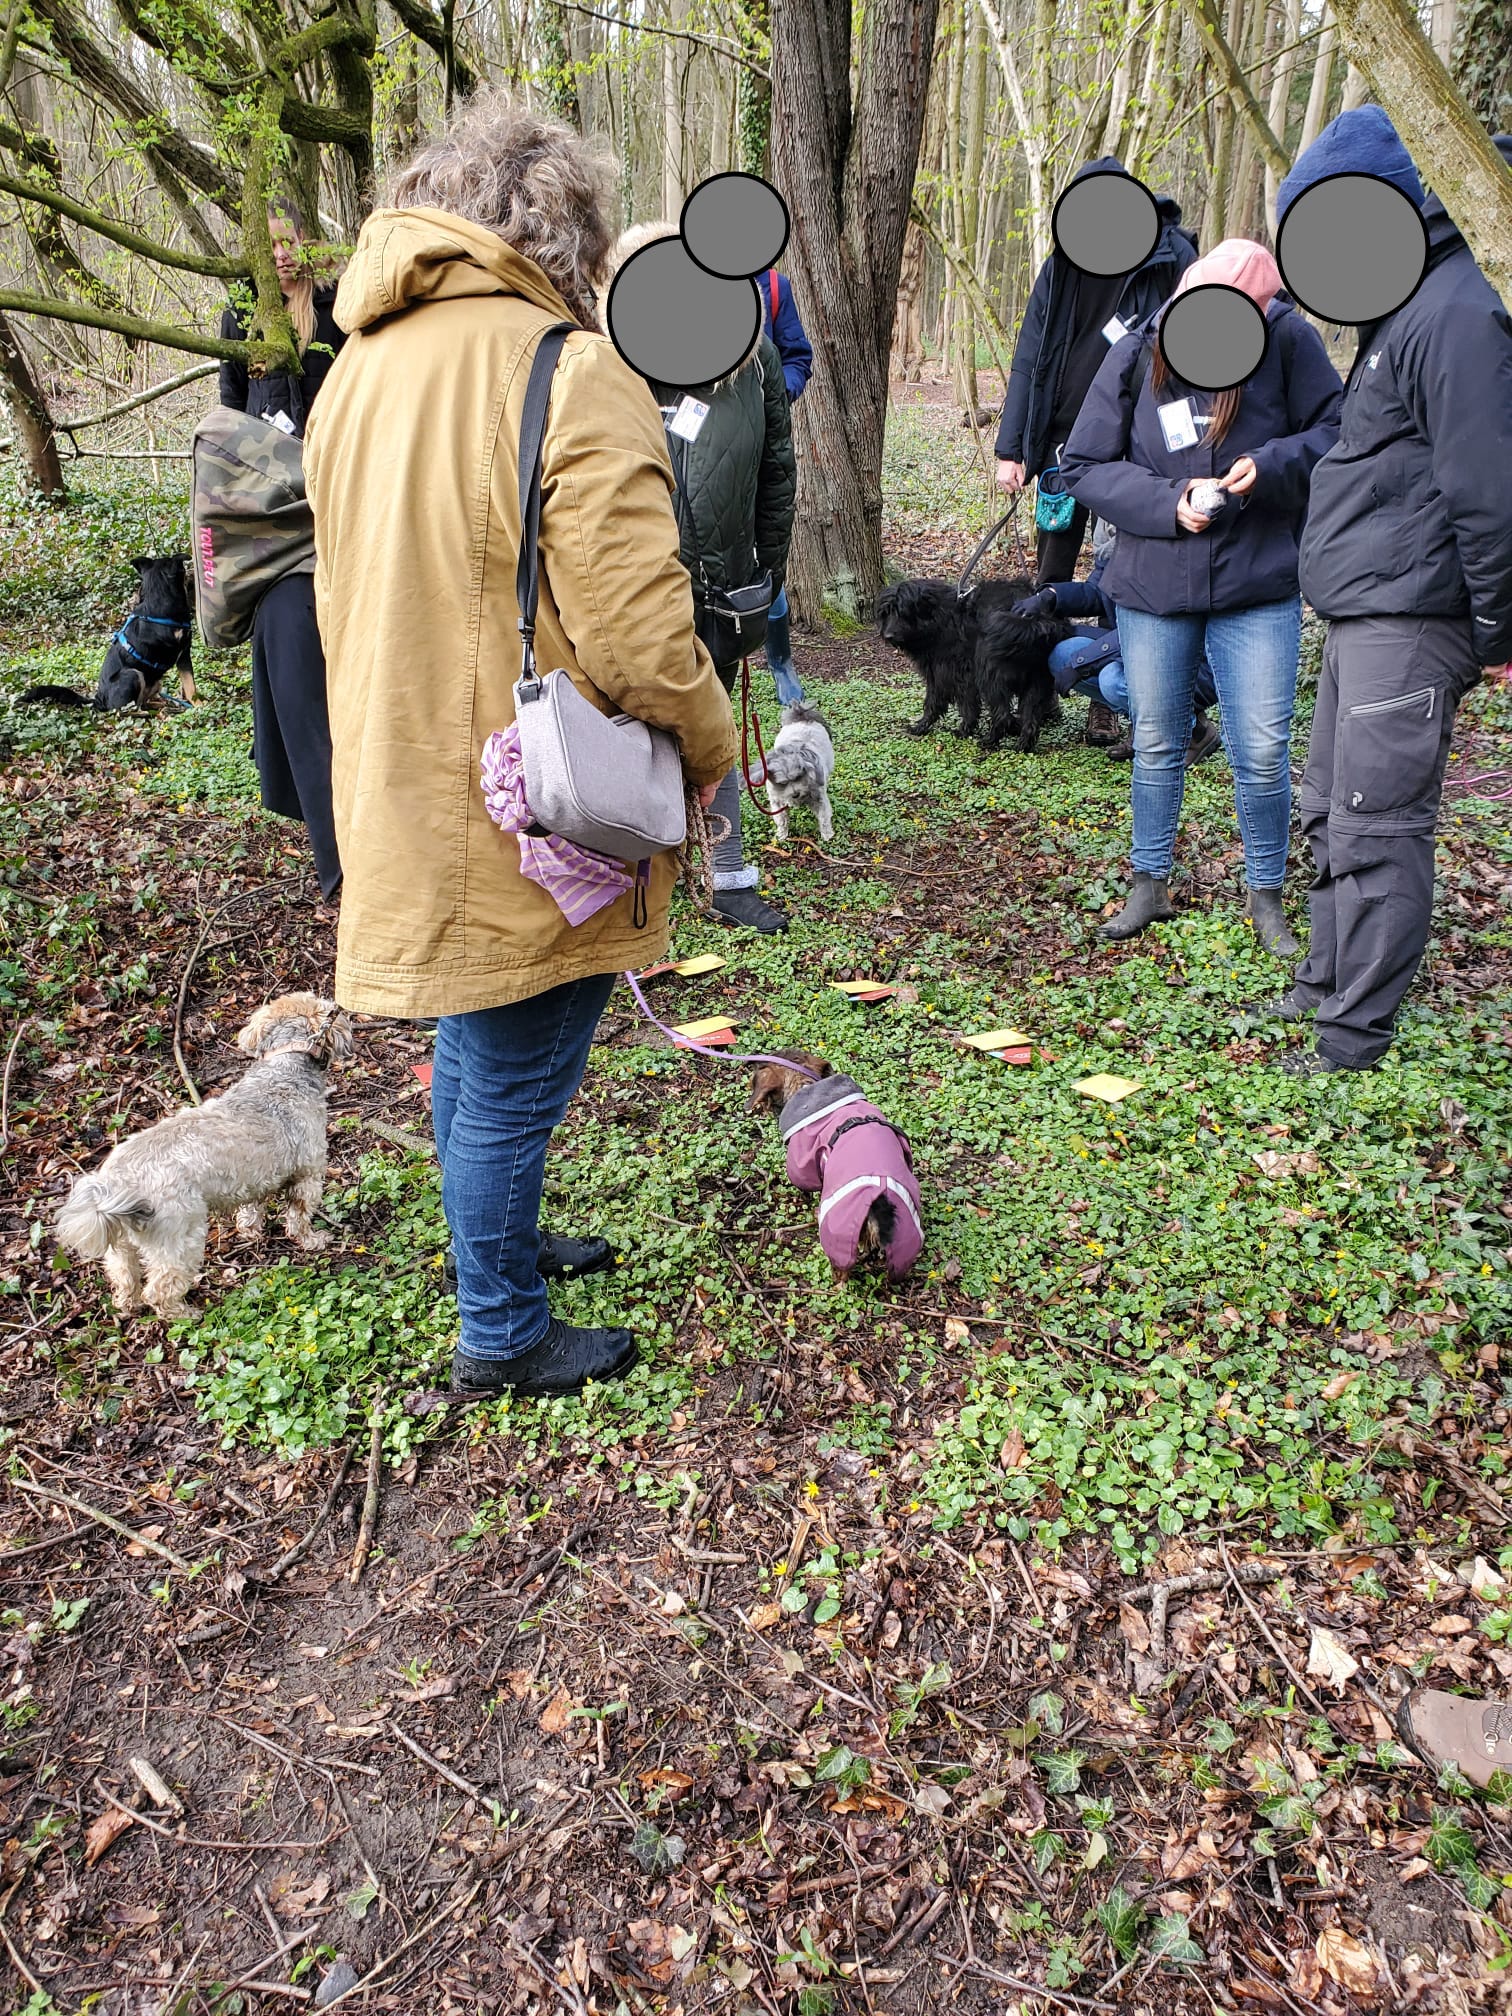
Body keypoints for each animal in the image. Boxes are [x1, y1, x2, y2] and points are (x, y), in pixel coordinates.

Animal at [22, 556, 195, 713]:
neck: (159, 604)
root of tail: (99, 700)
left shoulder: (184, 655)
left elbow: (191, 688)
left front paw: (198, 707)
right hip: (132, 675)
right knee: (124, 709)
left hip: (154, 683)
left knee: (139, 703)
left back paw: (159, 706)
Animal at [57, 995, 354, 1322]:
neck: (285, 1066)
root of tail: (116, 1183)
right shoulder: (307, 1176)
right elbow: (299, 1218)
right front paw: (313, 1240)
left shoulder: (256, 1176)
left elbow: (252, 1207)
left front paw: (250, 1230)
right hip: (182, 1236)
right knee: (160, 1289)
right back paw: (185, 1315)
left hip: (122, 1245)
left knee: (124, 1276)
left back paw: (128, 1303)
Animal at [770, 705, 842, 838]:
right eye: (782, 783)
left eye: (799, 776)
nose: (795, 794)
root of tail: (802, 716)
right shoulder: (777, 801)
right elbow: (781, 819)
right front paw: (782, 834)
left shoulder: (819, 799)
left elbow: (824, 818)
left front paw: (827, 835)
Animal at [874, 576, 1080, 758]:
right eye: (886, 612)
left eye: (902, 611)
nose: (888, 636)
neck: (941, 616)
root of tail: (1038, 620)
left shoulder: (952, 672)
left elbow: (948, 703)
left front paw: (945, 728)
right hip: (1038, 680)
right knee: (1030, 719)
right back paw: (1022, 746)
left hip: (989, 674)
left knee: (1002, 714)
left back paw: (989, 741)